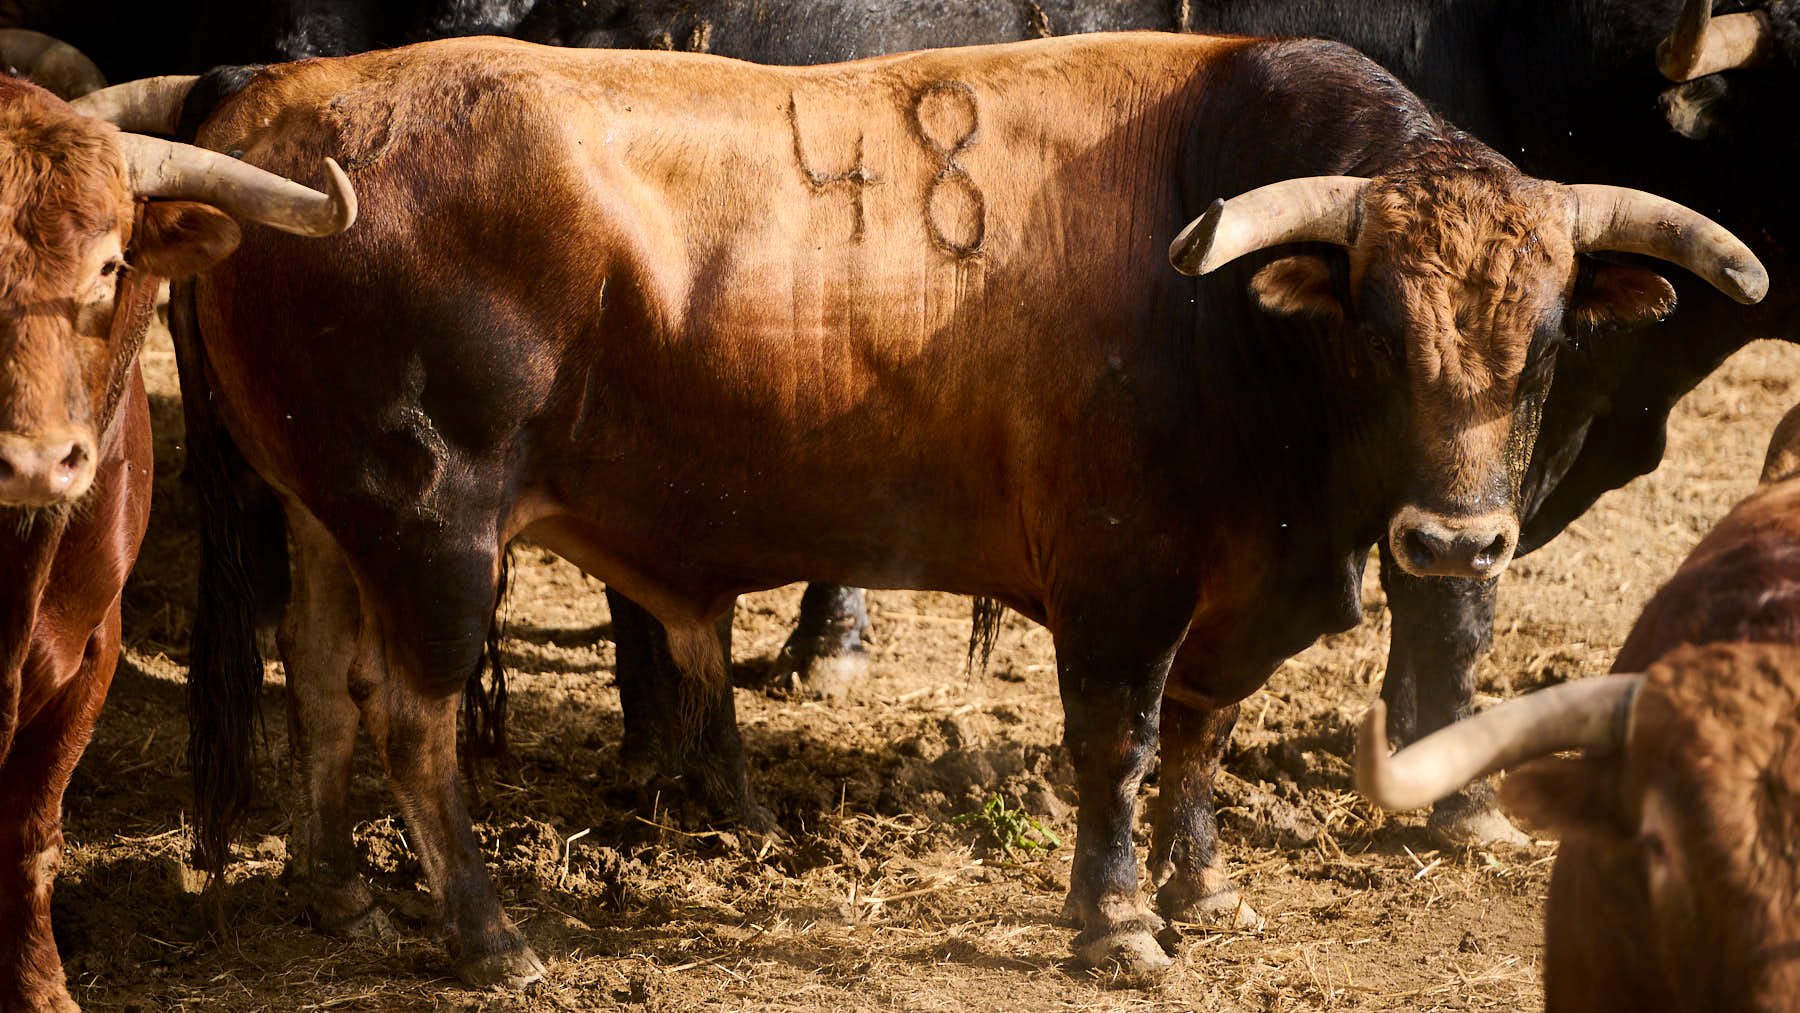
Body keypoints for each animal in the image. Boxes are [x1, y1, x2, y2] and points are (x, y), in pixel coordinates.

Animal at [81, 35, 1756, 986]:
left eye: (1549, 336)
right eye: (1375, 327)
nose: (1460, 544)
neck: (1221, 314)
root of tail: (287, 96)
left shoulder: (1242, 588)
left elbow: (1201, 740)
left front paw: (1207, 891)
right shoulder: (1120, 579)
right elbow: (1119, 744)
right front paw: (1119, 924)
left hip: (329, 514)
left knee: (324, 685)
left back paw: (339, 897)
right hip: (435, 526)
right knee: (417, 722)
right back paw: (489, 935)